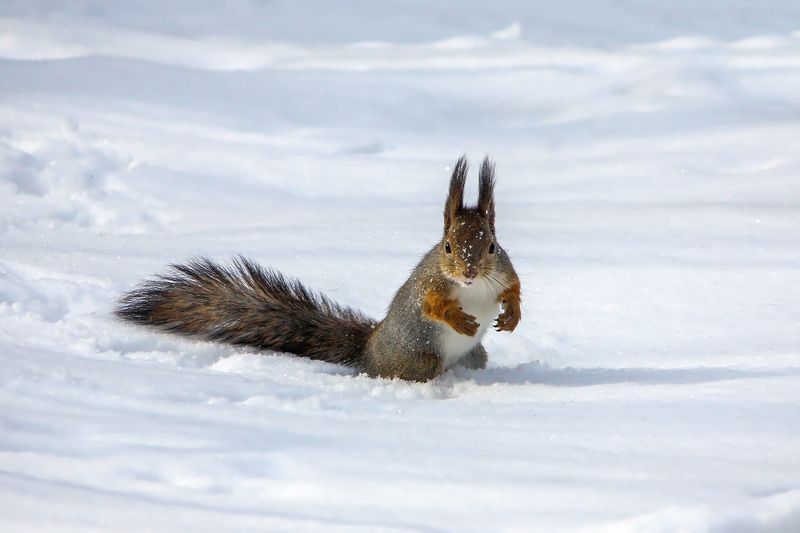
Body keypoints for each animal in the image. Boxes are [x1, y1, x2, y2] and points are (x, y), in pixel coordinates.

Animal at [115, 156, 521, 382]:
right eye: (448, 246)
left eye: (491, 246)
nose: (469, 272)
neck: (471, 287)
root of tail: (369, 349)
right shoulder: (430, 281)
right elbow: (431, 305)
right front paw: (461, 320)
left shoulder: (503, 269)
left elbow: (514, 286)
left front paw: (512, 315)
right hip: (420, 358)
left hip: (475, 356)